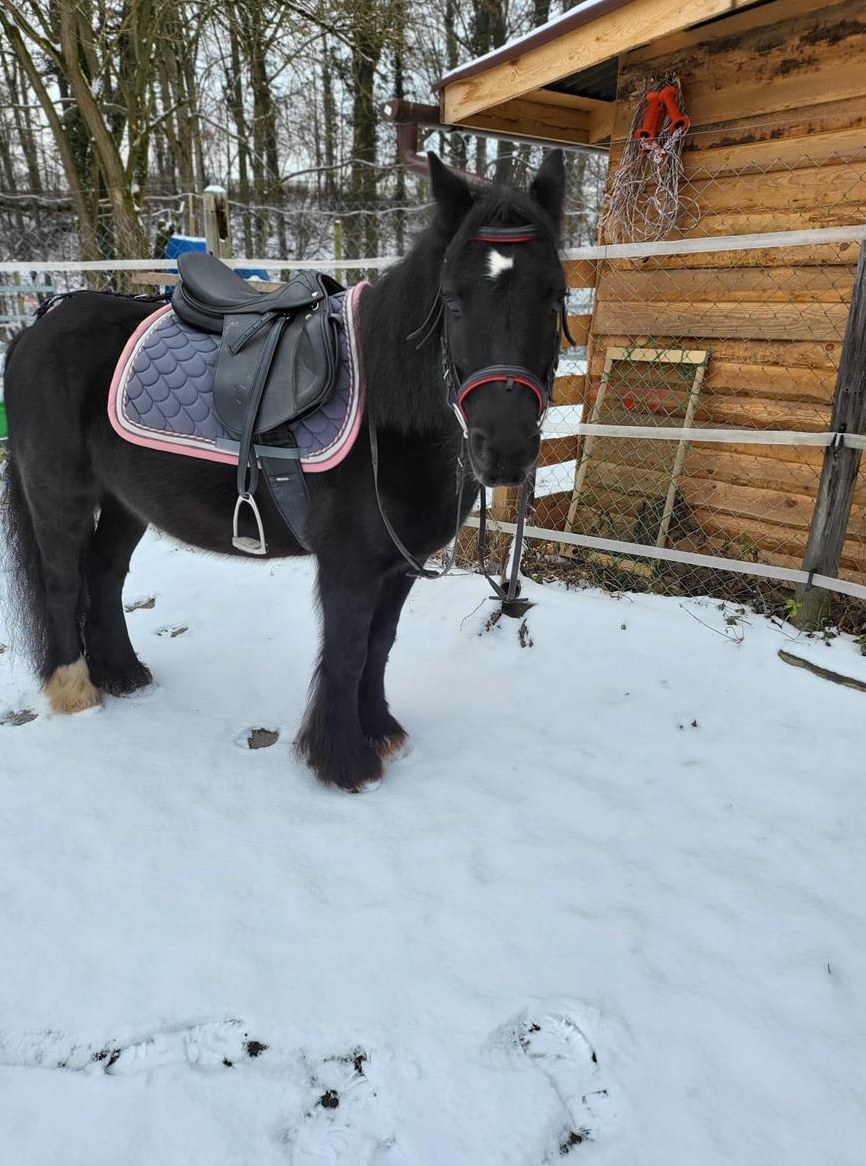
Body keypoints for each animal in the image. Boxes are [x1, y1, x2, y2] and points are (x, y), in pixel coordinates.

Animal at [2, 151, 568, 792]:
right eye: (451, 298)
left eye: (555, 294)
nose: (505, 447)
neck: (386, 410)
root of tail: (37, 326)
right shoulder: (349, 565)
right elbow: (347, 653)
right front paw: (344, 761)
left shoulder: (400, 565)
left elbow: (380, 645)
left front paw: (380, 730)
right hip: (59, 495)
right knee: (63, 580)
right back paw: (76, 691)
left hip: (127, 502)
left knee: (105, 575)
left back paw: (123, 674)